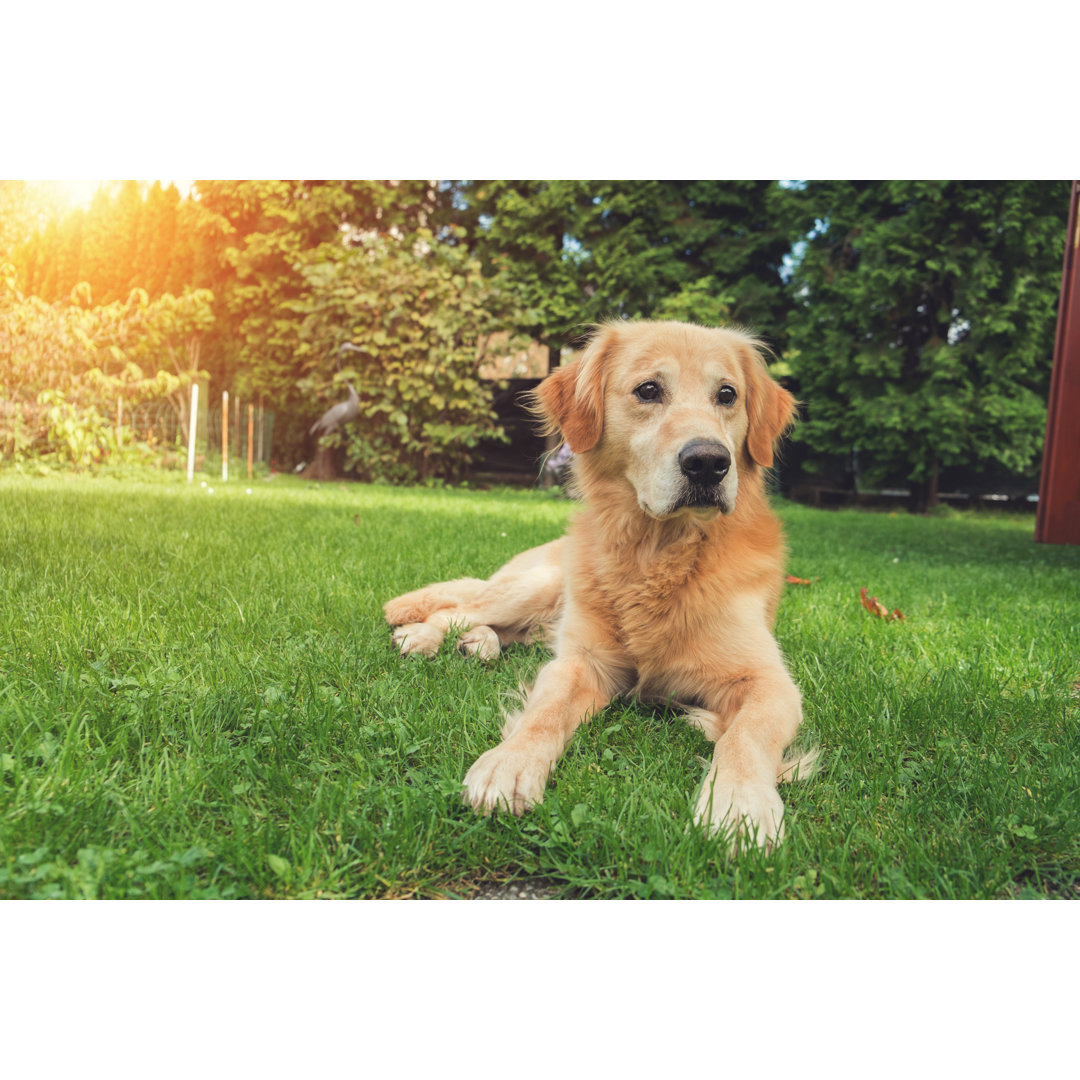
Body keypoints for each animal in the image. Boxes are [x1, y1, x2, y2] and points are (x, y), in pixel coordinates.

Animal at [384, 317, 812, 851]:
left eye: (727, 394)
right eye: (648, 390)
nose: (709, 463)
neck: (658, 552)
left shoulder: (770, 683)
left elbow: (745, 736)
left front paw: (740, 807)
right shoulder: (582, 661)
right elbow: (544, 713)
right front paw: (509, 763)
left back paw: (478, 644)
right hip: (534, 586)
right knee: (456, 608)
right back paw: (421, 636)